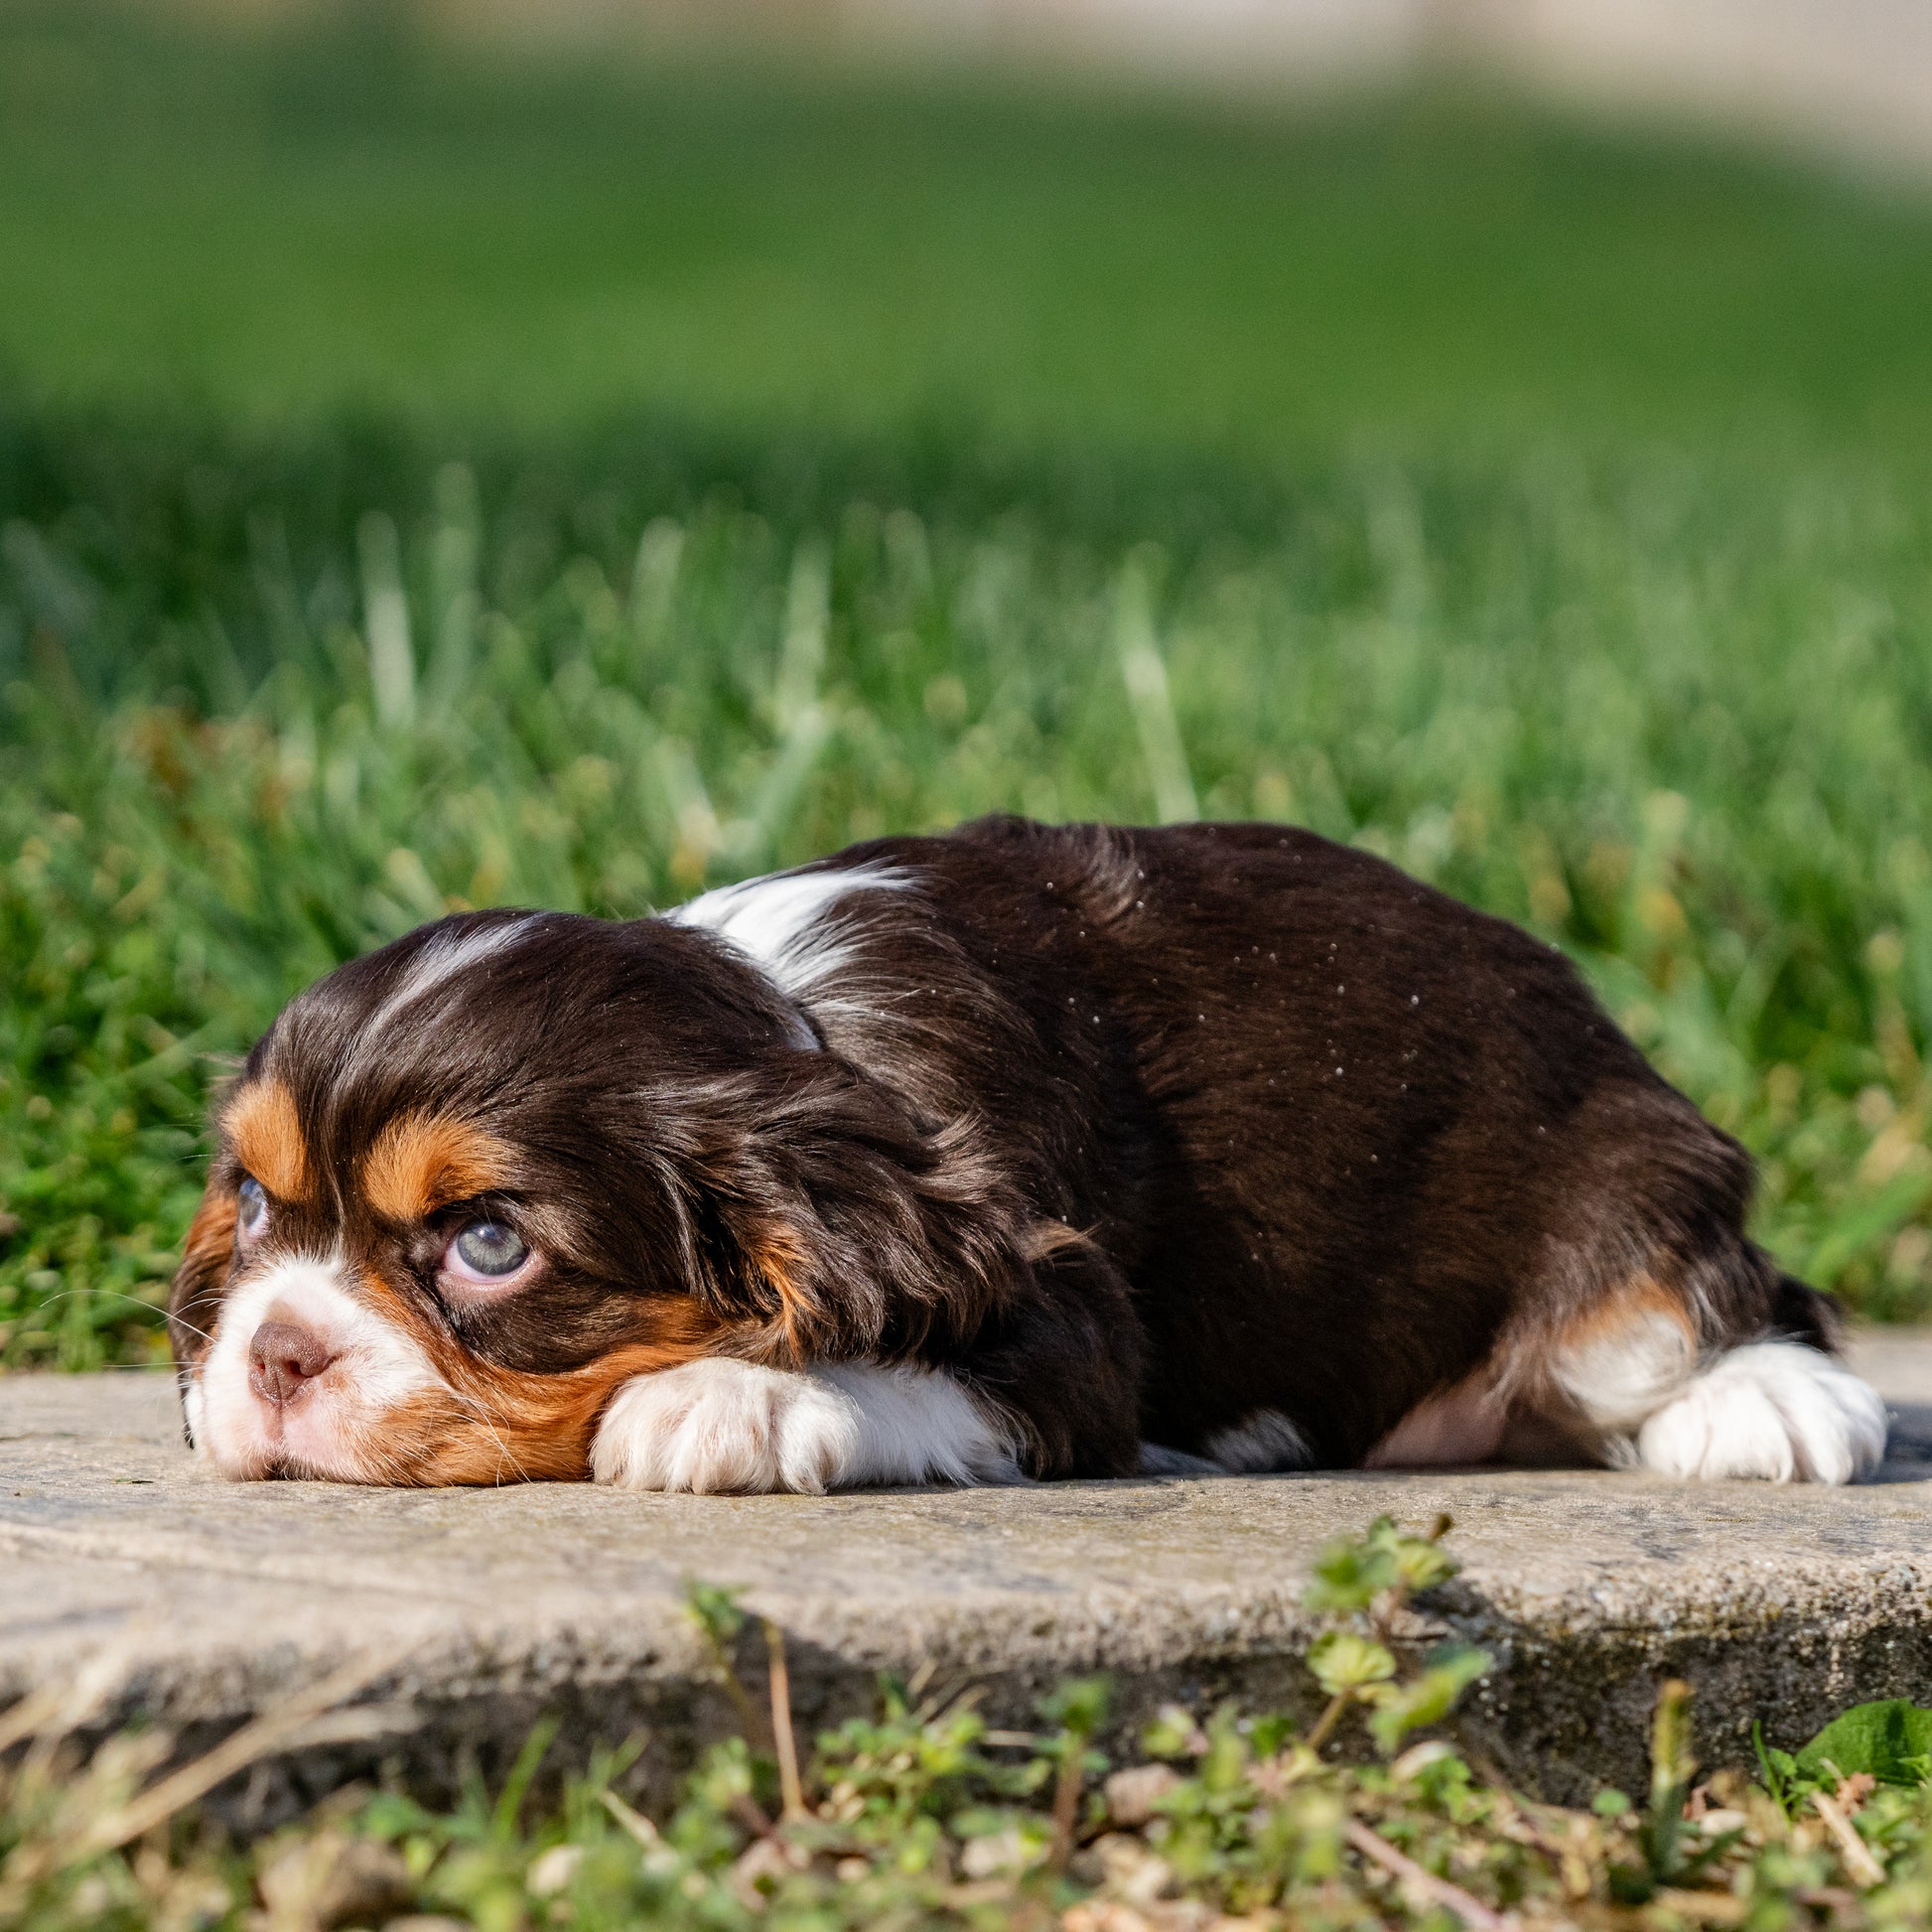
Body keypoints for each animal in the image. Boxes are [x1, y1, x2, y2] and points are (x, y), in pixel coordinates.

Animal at [166, 815, 1885, 1491]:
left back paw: (1775, 1406)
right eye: (252, 1201)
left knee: (1719, 1306)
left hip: (1614, 1190)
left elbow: (915, 1367)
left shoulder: (1069, 1314)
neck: (799, 1027)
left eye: (488, 1244)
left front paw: (734, 1396)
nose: (274, 1358)